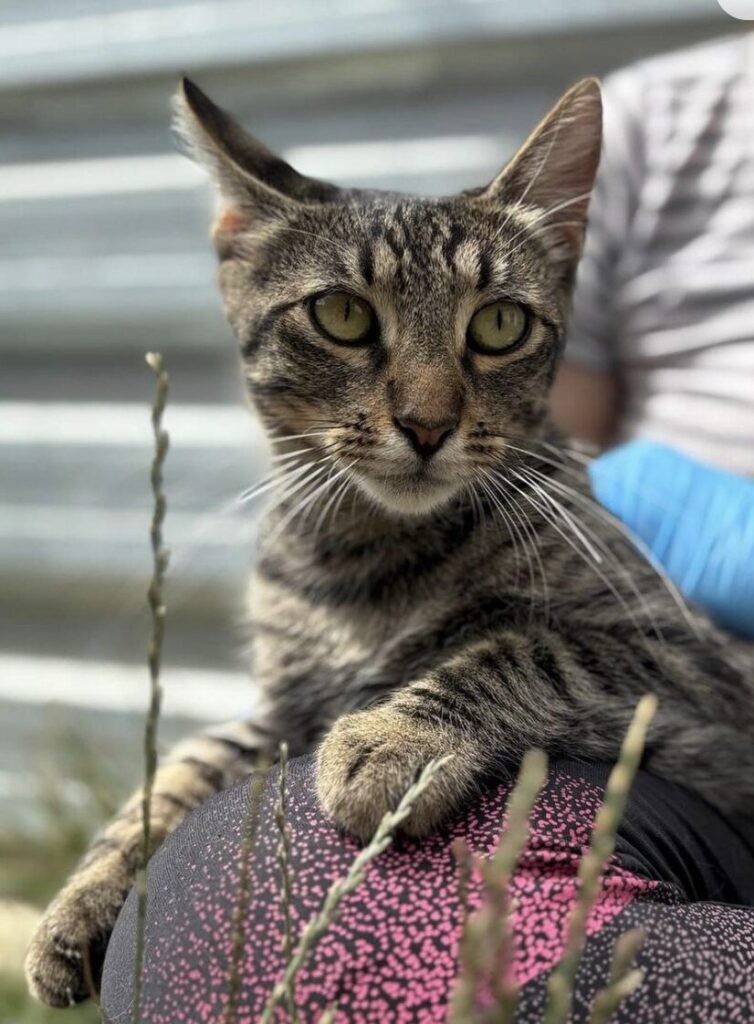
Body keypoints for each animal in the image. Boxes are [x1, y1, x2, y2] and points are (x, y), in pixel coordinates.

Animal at [26, 75, 749, 1003]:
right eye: (341, 314)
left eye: (500, 325)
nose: (428, 424)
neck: (364, 559)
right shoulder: (284, 709)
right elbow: (188, 763)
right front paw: (84, 893)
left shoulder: (688, 661)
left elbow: (525, 646)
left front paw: (393, 739)